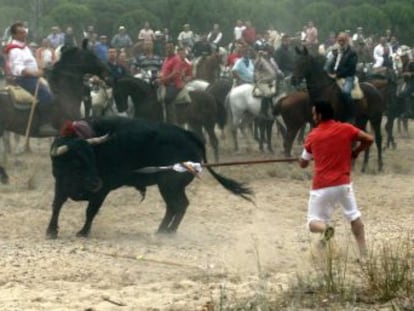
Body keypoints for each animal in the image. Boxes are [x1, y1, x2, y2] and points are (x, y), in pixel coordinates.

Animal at [45, 117, 252, 239]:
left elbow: (90, 211)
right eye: (75, 162)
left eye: (91, 157)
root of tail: (189, 135)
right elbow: (56, 205)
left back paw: (167, 232)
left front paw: (83, 232)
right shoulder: (60, 184)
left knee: (179, 205)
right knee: (175, 206)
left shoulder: (102, 191)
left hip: (170, 184)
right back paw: (163, 230)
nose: (96, 182)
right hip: (169, 186)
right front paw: (51, 231)